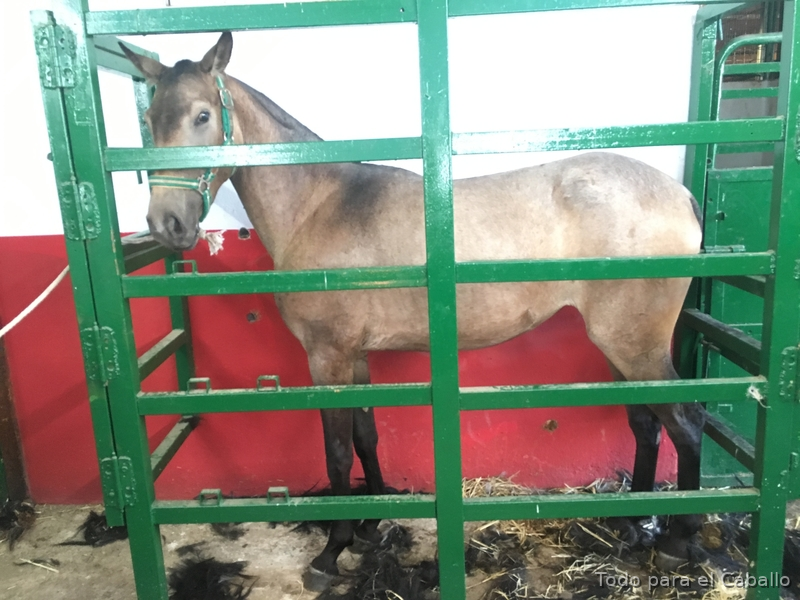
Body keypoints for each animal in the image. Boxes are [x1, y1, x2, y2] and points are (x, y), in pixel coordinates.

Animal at [121, 32, 705, 590]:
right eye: (148, 122)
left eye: (202, 115)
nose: (167, 224)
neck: (319, 204)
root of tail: (680, 193)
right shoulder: (354, 357)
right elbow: (365, 436)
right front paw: (370, 527)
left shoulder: (327, 358)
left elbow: (336, 451)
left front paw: (331, 552)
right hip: (621, 347)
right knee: (647, 425)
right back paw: (633, 527)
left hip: (634, 345)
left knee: (686, 424)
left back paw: (680, 539)